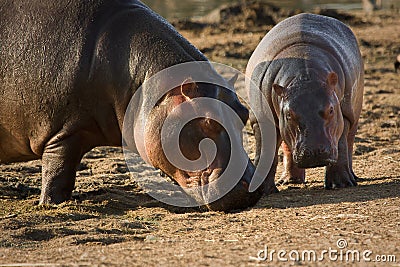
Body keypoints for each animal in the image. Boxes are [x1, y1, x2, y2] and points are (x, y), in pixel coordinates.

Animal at [0, 1, 262, 213]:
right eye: (206, 121)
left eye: (244, 113)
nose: (251, 186)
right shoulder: (65, 132)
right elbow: (58, 171)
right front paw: (51, 204)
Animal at [245, 13, 364, 194]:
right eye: (288, 114)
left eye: (331, 110)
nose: (314, 152)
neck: (305, 75)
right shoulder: (262, 119)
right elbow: (266, 152)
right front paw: (263, 191)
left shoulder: (343, 114)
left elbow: (341, 145)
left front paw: (341, 184)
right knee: (287, 148)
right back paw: (289, 181)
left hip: (354, 115)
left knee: (349, 142)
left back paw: (353, 178)